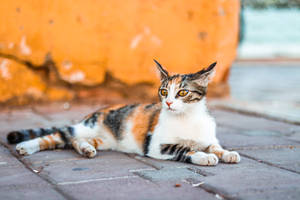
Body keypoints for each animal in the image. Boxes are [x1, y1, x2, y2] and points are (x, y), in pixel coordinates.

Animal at [7, 60, 240, 166]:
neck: (187, 118)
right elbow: (184, 149)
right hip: (85, 127)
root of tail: (98, 110)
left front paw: (227, 153)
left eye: (183, 92)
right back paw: (25, 146)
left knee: (75, 142)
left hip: (103, 139)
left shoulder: (208, 138)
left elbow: (215, 147)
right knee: (59, 135)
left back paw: (86, 149)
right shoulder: (156, 146)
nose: (168, 103)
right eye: (164, 91)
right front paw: (204, 156)